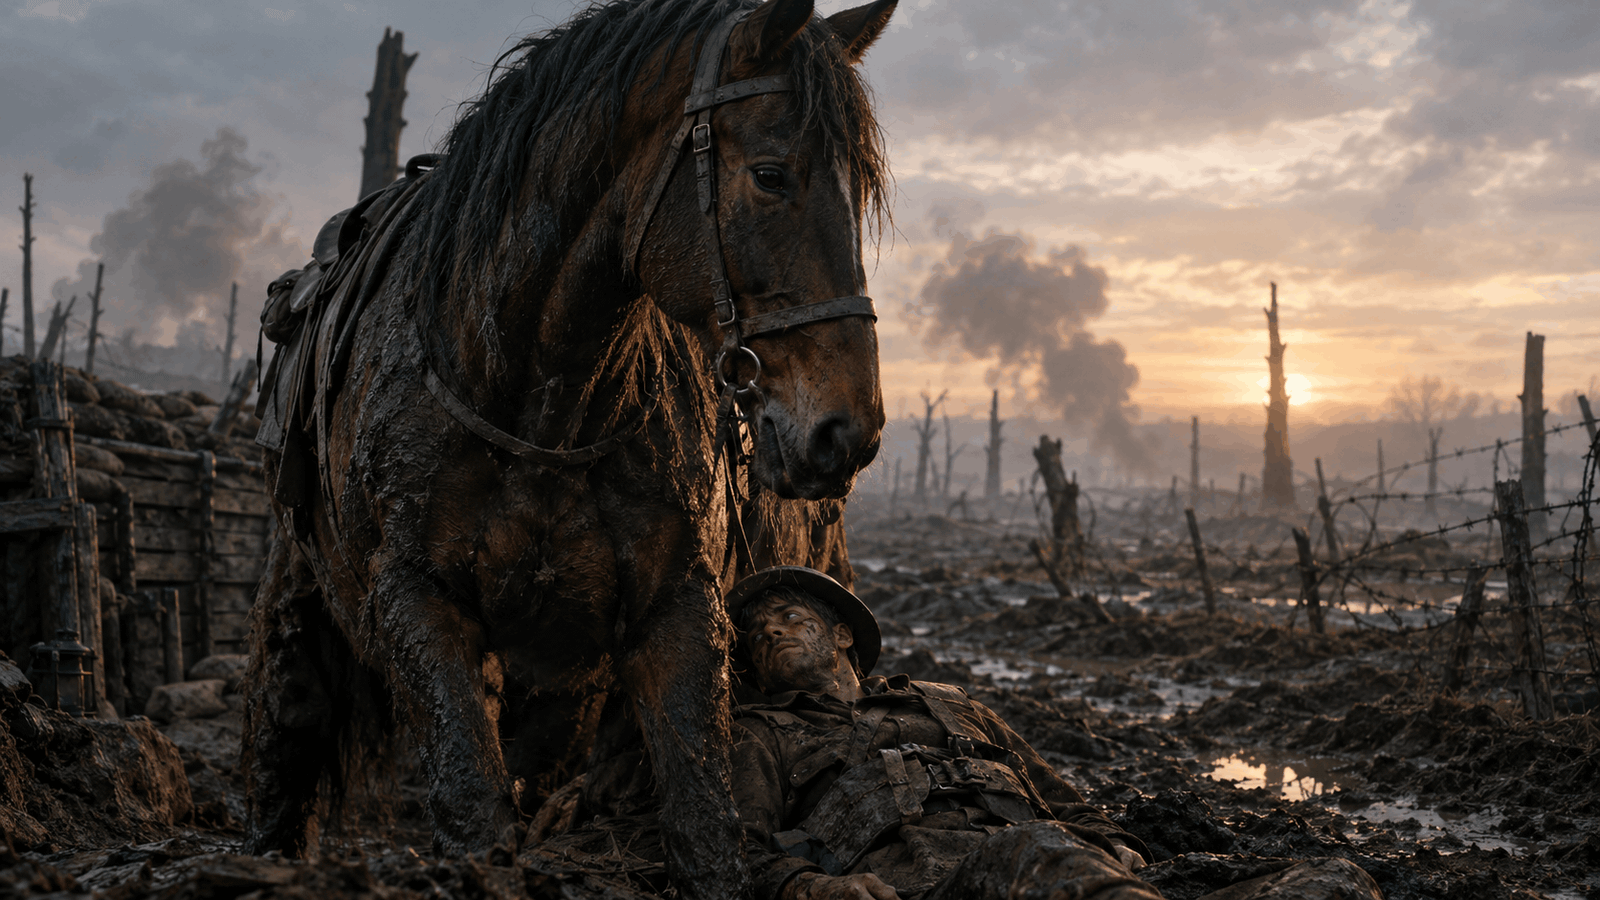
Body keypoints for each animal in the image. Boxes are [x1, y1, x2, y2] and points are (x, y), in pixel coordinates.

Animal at [239, 0, 894, 897]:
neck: (538, 407)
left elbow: (703, 819)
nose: (845, 431)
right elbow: (474, 811)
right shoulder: (416, 603)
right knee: (288, 732)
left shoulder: (675, 610)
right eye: (770, 175)